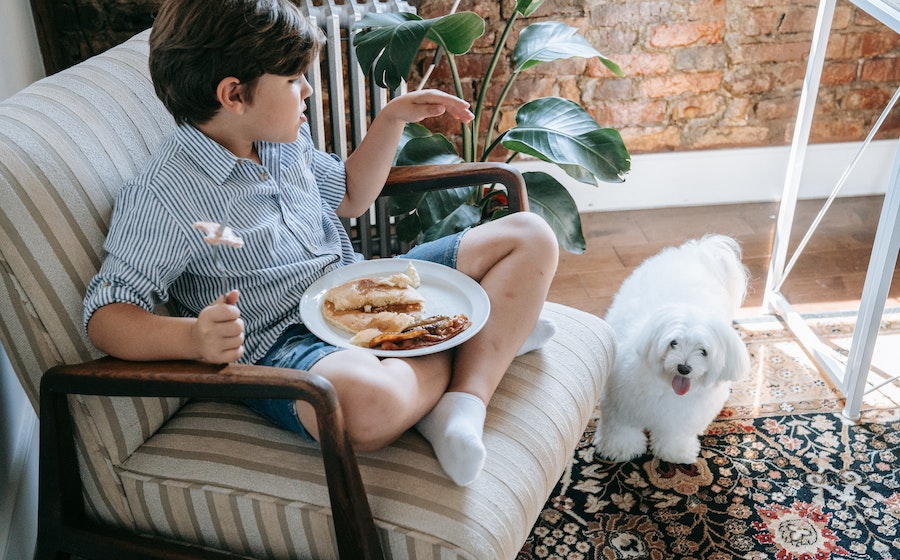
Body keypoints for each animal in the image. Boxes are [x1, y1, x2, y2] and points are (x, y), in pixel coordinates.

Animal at [596, 233, 748, 464]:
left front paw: (676, 453)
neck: (666, 387)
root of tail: (696, 251)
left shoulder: (681, 420)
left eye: (703, 351)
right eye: (673, 343)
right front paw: (620, 450)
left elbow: (675, 436)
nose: (684, 368)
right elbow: (621, 429)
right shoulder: (620, 405)